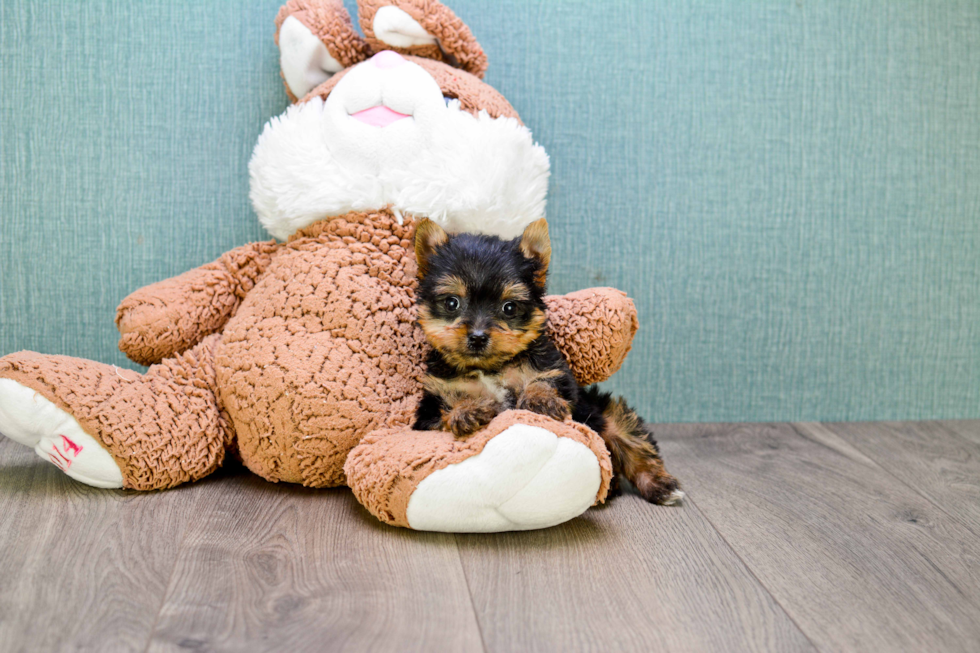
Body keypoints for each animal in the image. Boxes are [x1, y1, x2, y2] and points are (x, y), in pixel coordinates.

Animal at [412, 219, 680, 504]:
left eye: (509, 307)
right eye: (452, 302)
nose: (477, 337)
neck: (490, 368)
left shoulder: (556, 372)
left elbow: (542, 380)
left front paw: (541, 400)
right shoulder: (429, 410)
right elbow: (446, 410)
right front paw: (467, 410)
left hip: (606, 412)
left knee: (634, 440)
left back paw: (661, 485)